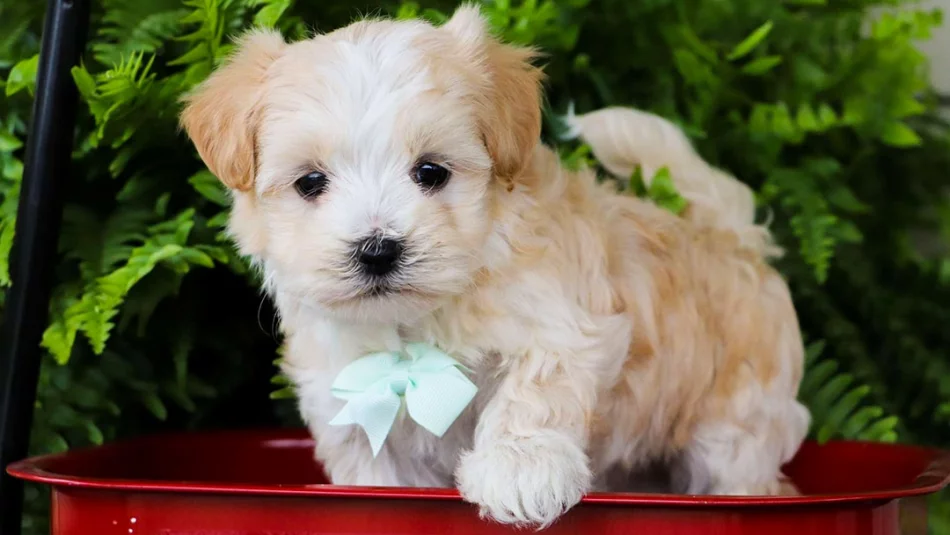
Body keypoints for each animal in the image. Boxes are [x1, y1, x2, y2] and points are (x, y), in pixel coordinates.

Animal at [180, 5, 812, 528]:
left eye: (431, 173)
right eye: (311, 182)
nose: (377, 249)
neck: (416, 326)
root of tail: (733, 236)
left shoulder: (562, 326)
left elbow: (533, 392)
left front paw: (518, 472)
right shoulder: (354, 407)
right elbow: (379, 474)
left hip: (739, 420)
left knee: (741, 466)